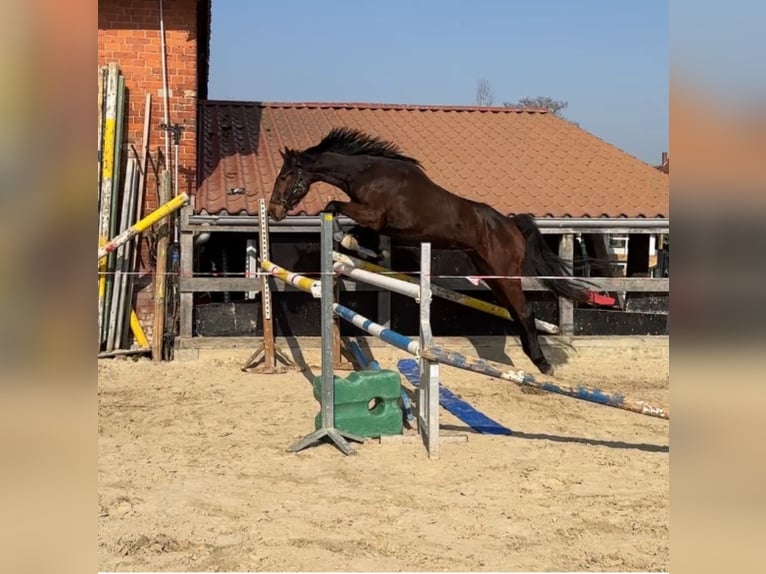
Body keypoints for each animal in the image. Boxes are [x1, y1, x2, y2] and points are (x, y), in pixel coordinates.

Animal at [268, 127, 595, 376]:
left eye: (284, 177)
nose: (273, 212)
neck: (368, 173)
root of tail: (511, 225)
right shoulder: (375, 221)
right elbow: (349, 223)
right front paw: (355, 245)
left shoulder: (373, 214)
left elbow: (334, 206)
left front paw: (346, 241)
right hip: (491, 275)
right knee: (518, 313)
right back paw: (528, 358)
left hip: (505, 274)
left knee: (526, 313)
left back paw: (543, 364)